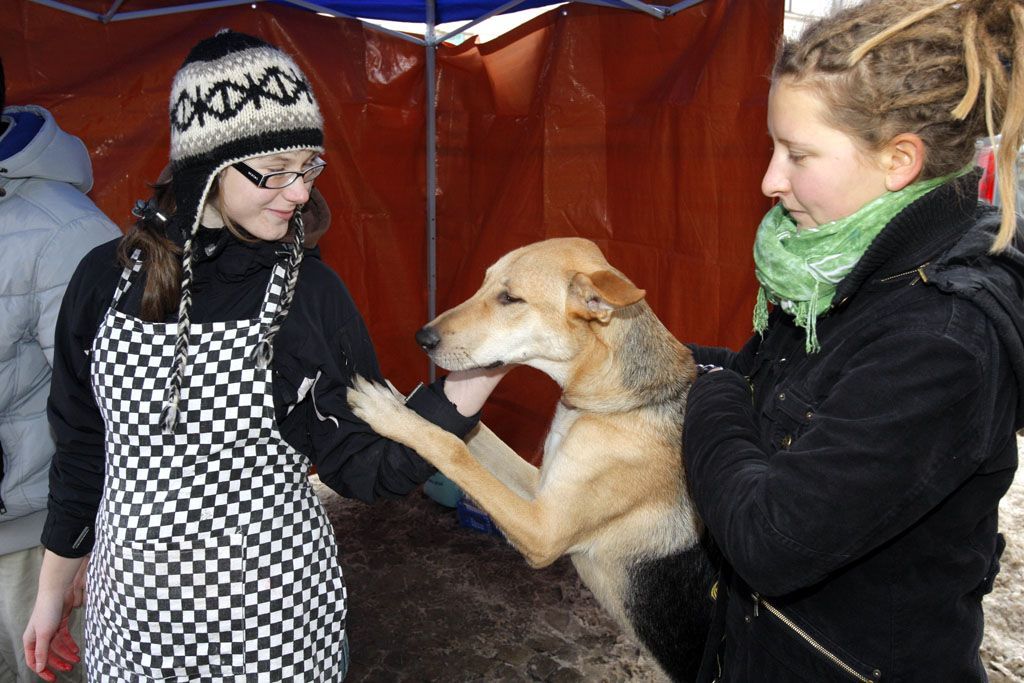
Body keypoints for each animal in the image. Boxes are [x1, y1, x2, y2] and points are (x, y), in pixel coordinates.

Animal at [348, 237, 716, 679]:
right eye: (484, 283)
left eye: (510, 299)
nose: (421, 338)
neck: (614, 402)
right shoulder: (538, 485)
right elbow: (470, 433)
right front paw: (407, 399)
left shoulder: (543, 531)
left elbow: (451, 447)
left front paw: (390, 413)